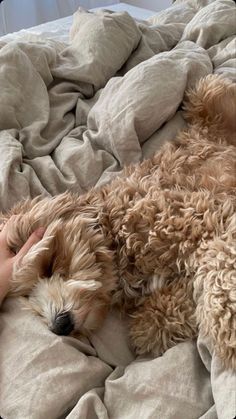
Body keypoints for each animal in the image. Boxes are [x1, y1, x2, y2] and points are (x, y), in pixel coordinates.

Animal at [0, 74, 235, 370]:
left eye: (49, 265)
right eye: (26, 293)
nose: (60, 326)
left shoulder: (205, 220)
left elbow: (218, 270)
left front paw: (227, 328)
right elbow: (159, 320)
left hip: (206, 90)